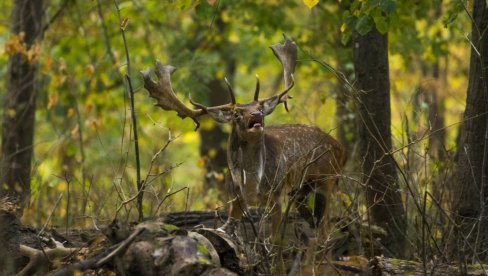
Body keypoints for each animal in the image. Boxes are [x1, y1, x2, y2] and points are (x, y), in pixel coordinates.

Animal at [141, 34, 346, 248]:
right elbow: (228, 229)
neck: (251, 185)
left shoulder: (275, 193)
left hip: (327, 177)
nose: (256, 114)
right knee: (314, 218)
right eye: (236, 114)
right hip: (302, 189)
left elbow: (276, 239)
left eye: (260, 107)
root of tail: (342, 148)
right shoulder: (234, 197)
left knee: (325, 226)